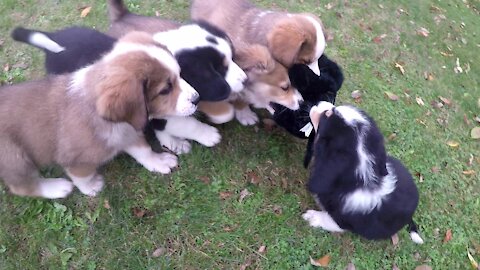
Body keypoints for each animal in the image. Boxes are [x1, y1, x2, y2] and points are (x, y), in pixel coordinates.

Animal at [0, 32, 199, 200]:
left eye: (180, 74)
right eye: (165, 90)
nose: (197, 99)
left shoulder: (125, 134)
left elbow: (144, 151)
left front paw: (158, 162)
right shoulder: (76, 160)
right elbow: (82, 176)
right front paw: (91, 187)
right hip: (16, 159)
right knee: (22, 187)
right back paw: (57, 188)